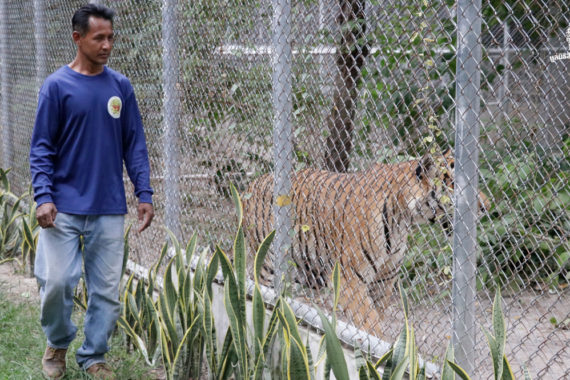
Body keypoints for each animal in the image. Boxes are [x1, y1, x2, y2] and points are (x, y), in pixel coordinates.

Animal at [241, 150, 488, 334]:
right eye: (455, 184)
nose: (487, 207)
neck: (403, 220)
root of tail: (252, 183)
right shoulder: (350, 279)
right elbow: (371, 325)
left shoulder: (383, 282)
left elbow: (377, 319)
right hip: (266, 264)